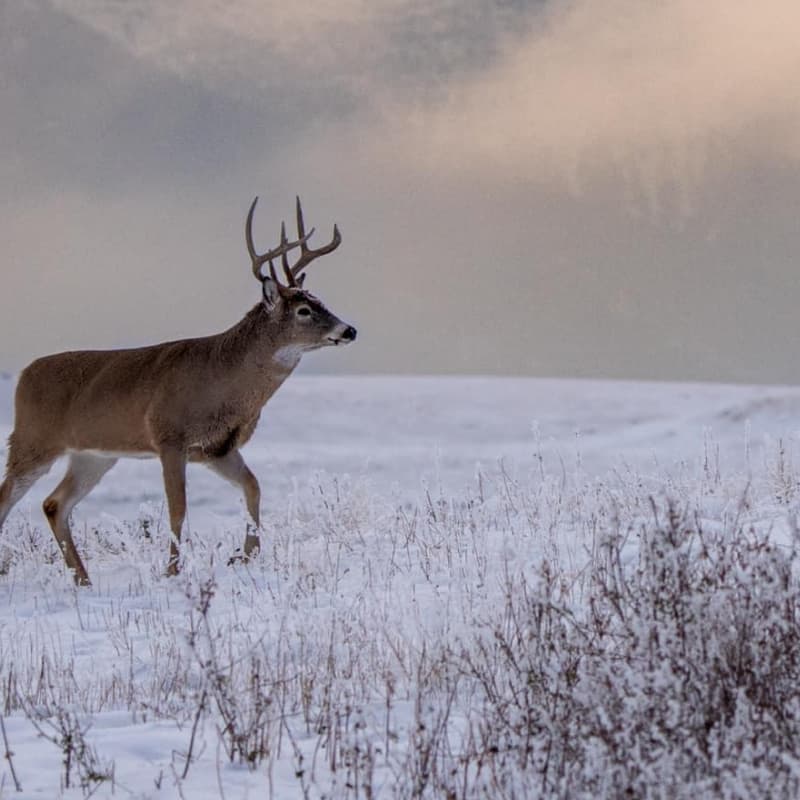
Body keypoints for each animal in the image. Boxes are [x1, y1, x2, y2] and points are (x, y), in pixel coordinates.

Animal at [0, 196, 356, 586]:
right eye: (304, 310)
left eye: (321, 302)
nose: (349, 330)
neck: (222, 381)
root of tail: (24, 374)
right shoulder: (169, 436)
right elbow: (178, 509)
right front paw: (172, 571)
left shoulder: (217, 448)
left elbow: (253, 487)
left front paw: (244, 556)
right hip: (32, 440)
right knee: (8, 498)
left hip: (92, 455)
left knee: (54, 504)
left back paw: (84, 579)